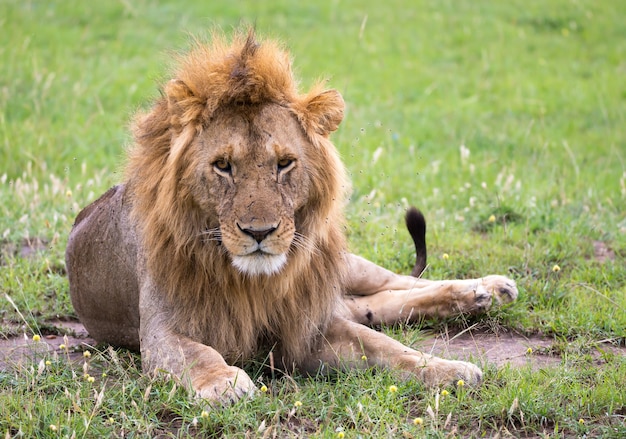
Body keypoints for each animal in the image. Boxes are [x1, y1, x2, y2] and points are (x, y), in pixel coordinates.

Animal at [64, 31, 516, 406]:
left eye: (284, 163)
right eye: (223, 166)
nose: (259, 232)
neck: (253, 282)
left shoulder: (306, 326)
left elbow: (386, 347)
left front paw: (448, 370)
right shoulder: (161, 329)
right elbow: (195, 353)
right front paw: (224, 382)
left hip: (338, 265)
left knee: (398, 282)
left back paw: (488, 289)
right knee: (379, 302)